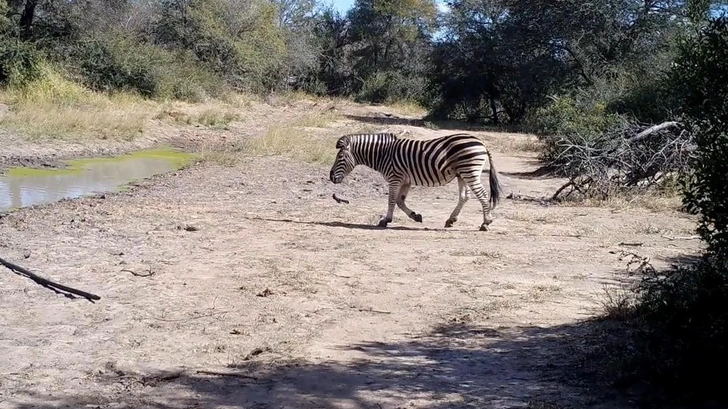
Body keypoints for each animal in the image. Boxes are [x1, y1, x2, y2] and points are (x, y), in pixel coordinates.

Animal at [328, 132, 504, 231]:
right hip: (462, 174)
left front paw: (385, 220)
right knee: (465, 196)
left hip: (469, 171)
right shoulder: (406, 180)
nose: (331, 177)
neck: (383, 154)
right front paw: (416, 216)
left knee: (482, 194)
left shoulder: (394, 178)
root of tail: (481, 142)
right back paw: (451, 220)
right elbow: (400, 201)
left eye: (340, 157)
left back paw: (486, 223)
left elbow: (391, 200)